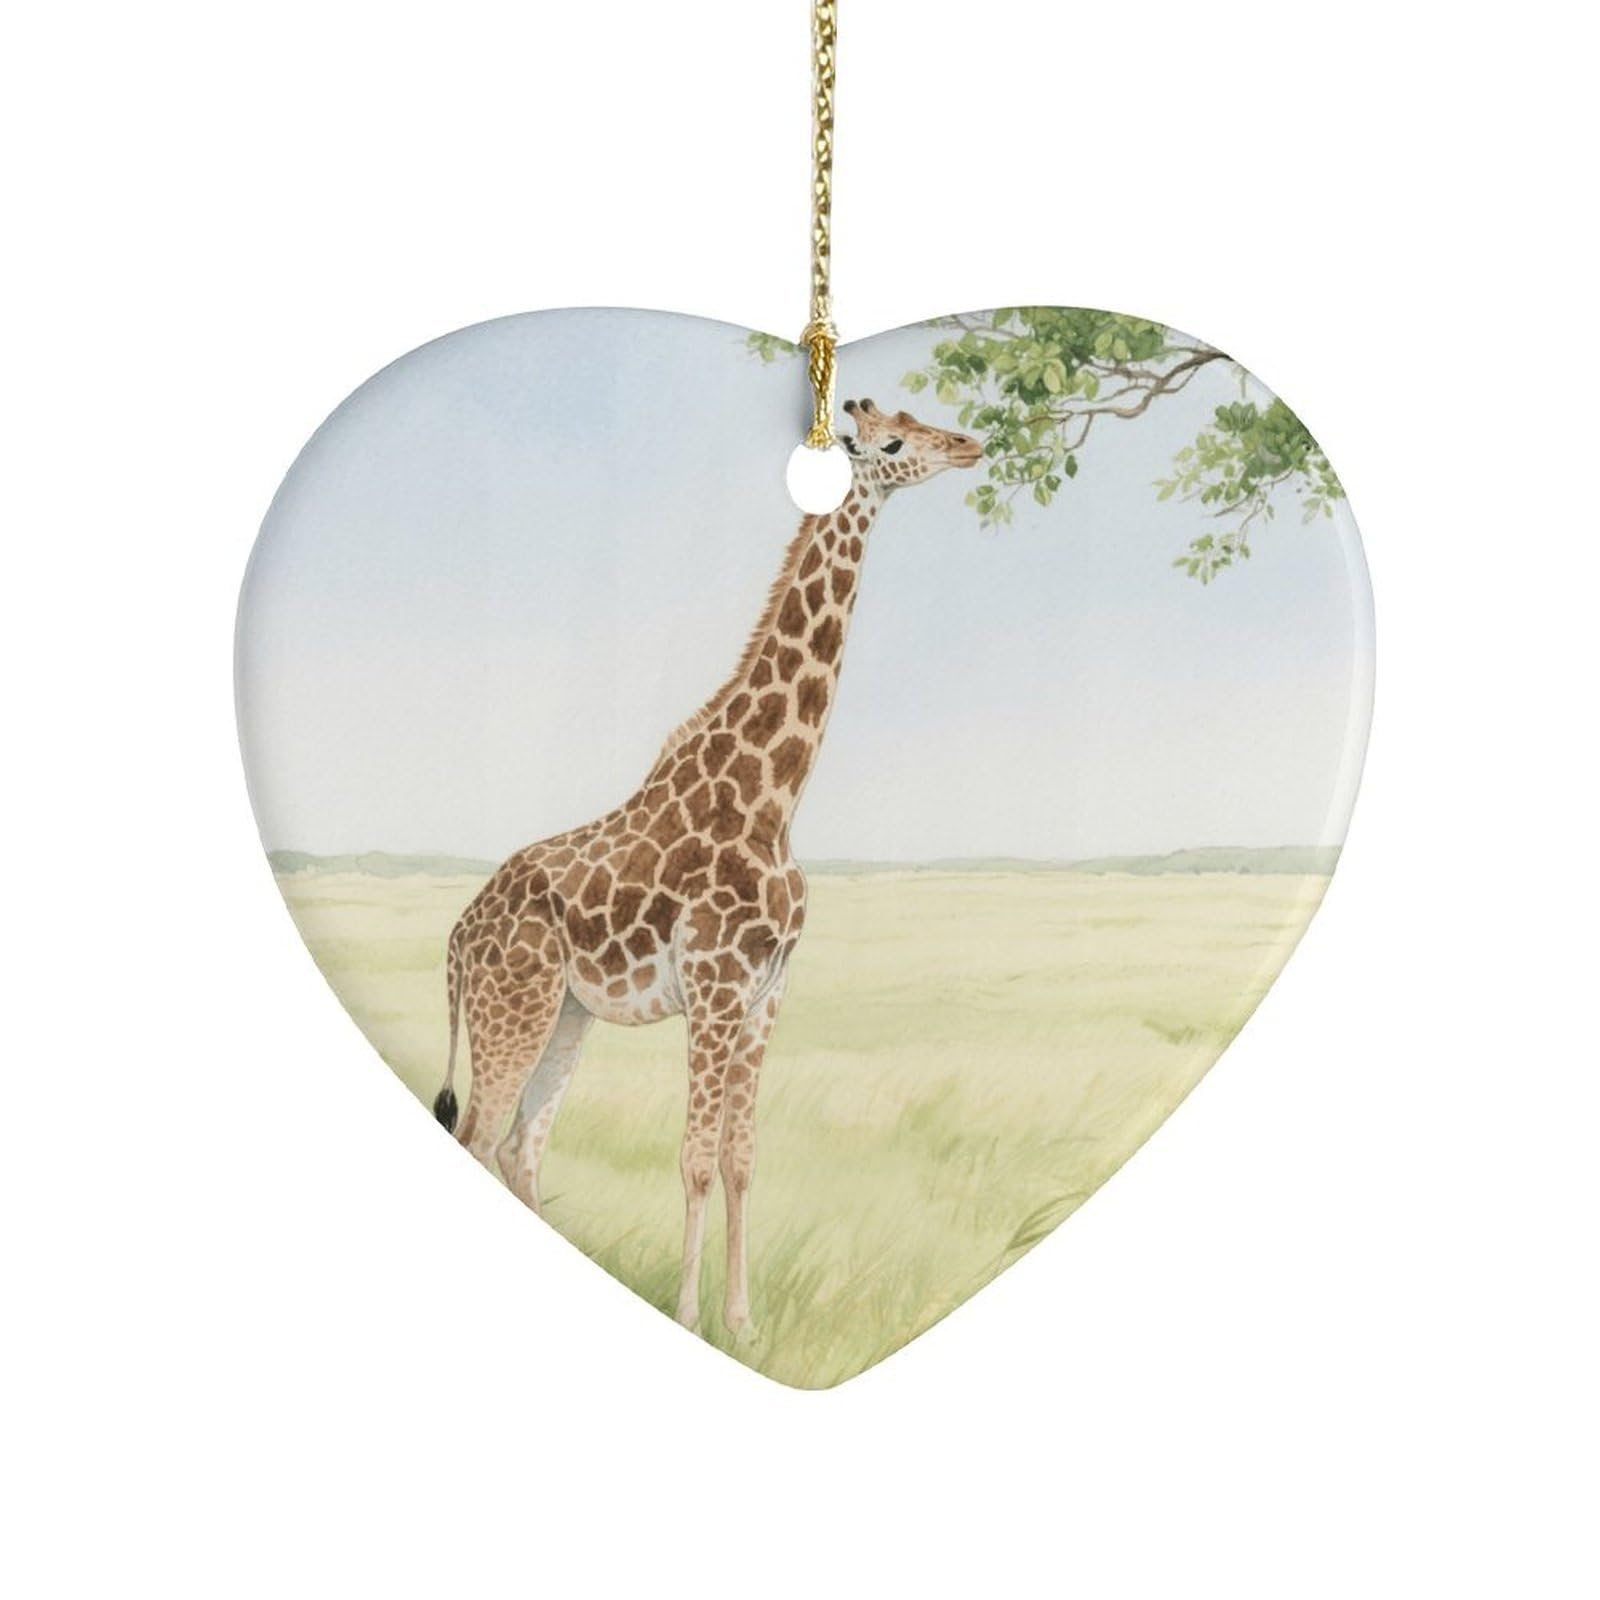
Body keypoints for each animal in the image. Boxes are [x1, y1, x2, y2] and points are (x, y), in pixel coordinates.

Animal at [433, 397, 982, 1338]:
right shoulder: (717, 989)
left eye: (922, 421)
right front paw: (692, 1316)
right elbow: (692, 1158)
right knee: (478, 1136)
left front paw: (744, 1321)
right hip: (515, 1009)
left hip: (569, 1016)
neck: (773, 798)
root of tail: (458, 939)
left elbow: (740, 1159)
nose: (970, 445)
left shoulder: (766, 996)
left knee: (519, 1147)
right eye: (895, 440)